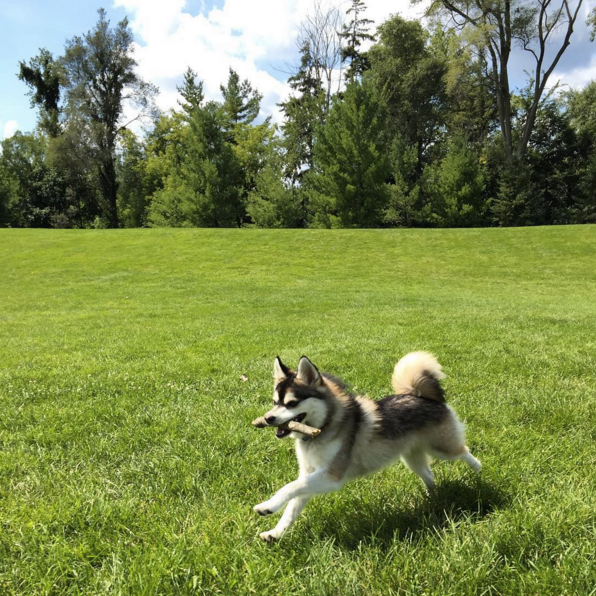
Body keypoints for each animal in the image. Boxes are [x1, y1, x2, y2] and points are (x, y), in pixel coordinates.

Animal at [254, 352, 482, 544]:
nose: (268, 418)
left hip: (441, 448)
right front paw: (275, 532)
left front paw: (267, 506)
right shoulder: (310, 474)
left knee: (464, 451)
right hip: (411, 458)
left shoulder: (330, 476)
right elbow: (292, 505)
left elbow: (289, 487)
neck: (322, 429)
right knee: (429, 474)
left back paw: (478, 471)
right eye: (274, 402)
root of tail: (422, 396)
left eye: (292, 403)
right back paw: (431, 498)